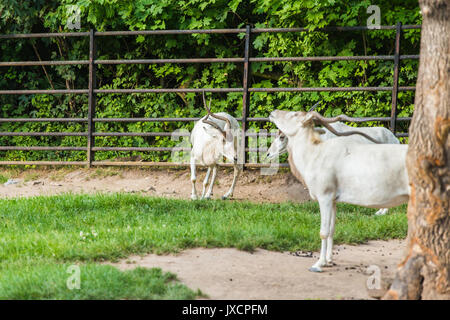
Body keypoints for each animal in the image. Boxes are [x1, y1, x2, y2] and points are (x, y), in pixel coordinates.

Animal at [268, 110, 410, 272]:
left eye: (294, 114)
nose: (272, 113)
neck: (316, 153)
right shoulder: (333, 201)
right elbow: (331, 230)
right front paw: (329, 260)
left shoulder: (325, 198)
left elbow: (323, 232)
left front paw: (319, 264)